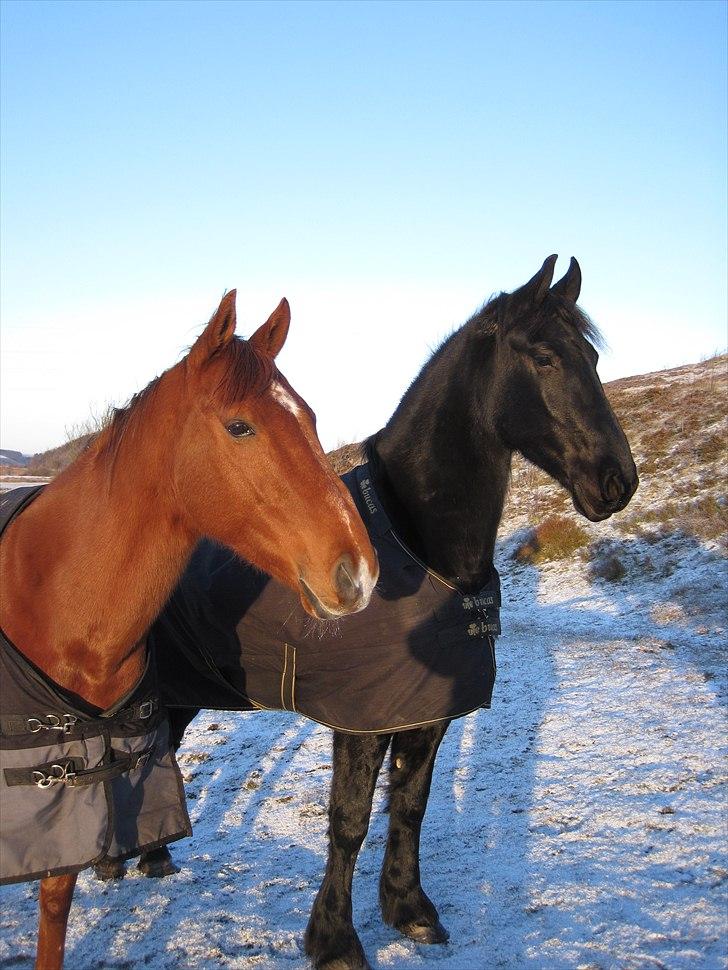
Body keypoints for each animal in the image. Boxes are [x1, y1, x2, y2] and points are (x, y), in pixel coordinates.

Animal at [136, 258, 636, 968]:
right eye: (544, 357)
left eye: (591, 357)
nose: (617, 481)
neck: (419, 545)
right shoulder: (362, 720)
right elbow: (348, 823)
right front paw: (335, 940)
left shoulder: (426, 711)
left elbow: (411, 806)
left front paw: (409, 909)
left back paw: (144, 860)